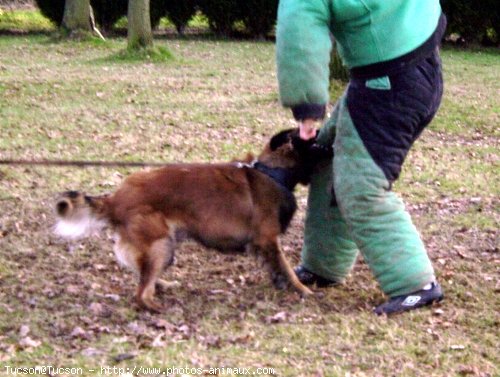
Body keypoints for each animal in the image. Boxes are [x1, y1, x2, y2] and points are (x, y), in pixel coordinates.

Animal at [54, 128, 330, 310]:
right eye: (316, 143)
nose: (333, 146)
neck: (272, 172)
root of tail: (116, 198)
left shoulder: (264, 244)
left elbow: (276, 268)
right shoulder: (268, 239)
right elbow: (286, 268)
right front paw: (303, 290)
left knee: (143, 274)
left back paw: (162, 285)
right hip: (161, 244)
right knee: (140, 293)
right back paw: (156, 306)